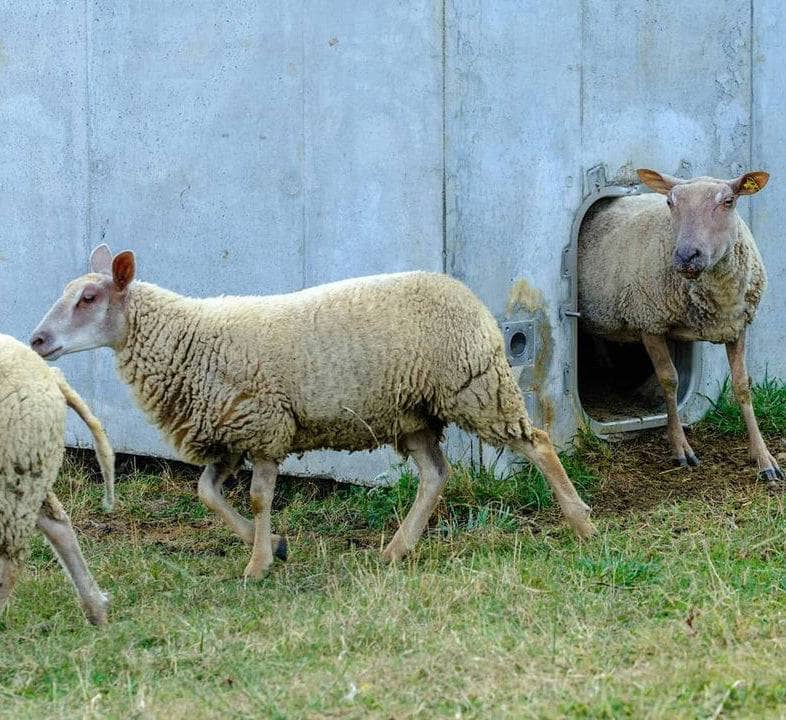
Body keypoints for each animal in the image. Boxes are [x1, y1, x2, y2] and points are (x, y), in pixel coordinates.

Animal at [0, 334, 115, 620]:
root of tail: (49, 374)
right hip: (28, 473)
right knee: (58, 525)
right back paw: (97, 609)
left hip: (14, 474)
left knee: (11, 559)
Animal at [30, 245, 596, 576]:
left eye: (88, 297)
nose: (36, 340)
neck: (187, 338)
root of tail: (469, 296)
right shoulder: (228, 436)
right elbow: (207, 494)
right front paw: (273, 546)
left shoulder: (263, 427)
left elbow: (258, 498)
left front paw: (258, 563)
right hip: (413, 412)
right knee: (436, 475)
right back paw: (397, 549)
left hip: (476, 388)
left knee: (537, 442)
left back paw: (582, 522)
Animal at [576, 169, 776, 480]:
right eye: (670, 202)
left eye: (729, 201)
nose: (686, 256)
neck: (719, 294)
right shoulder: (648, 321)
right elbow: (670, 380)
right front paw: (680, 446)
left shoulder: (737, 326)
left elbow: (742, 386)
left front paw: (764, 458)